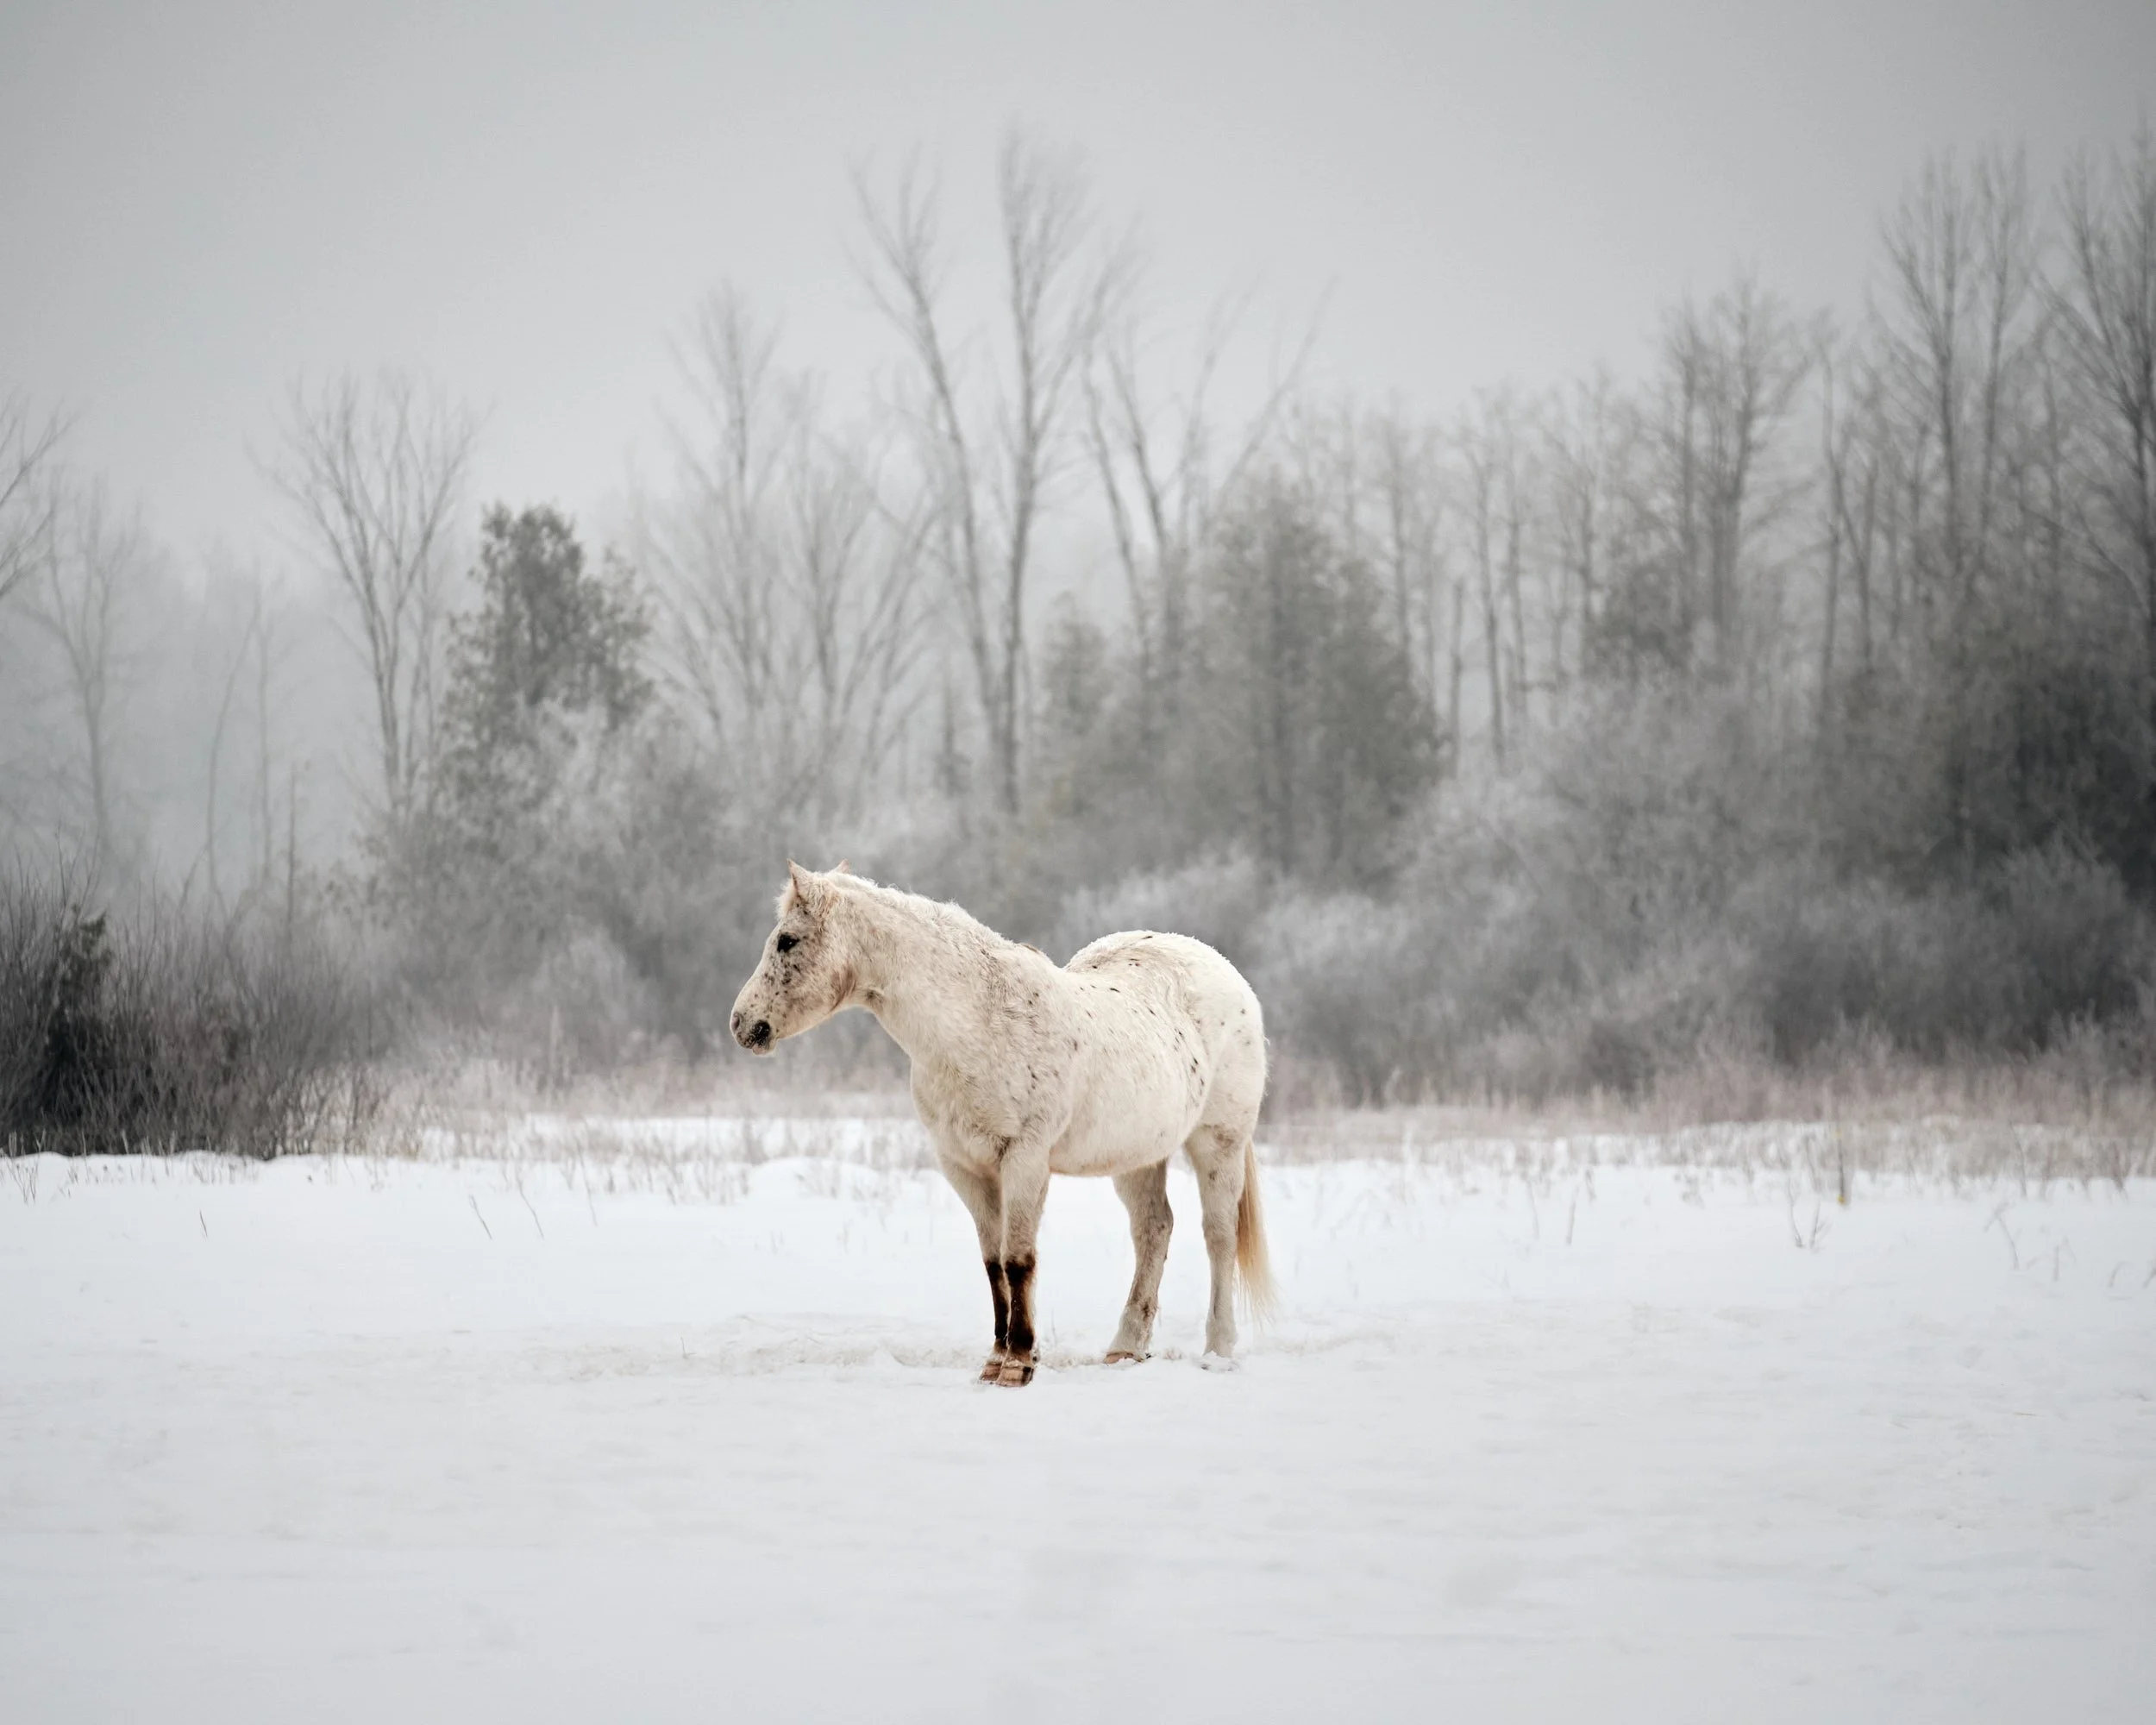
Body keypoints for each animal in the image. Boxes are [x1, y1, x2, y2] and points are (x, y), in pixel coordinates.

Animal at [729, 863, 1274, 1387]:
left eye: (787, 940)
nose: (741, 1024)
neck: (975, 1025)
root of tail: (1223, 971)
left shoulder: (1025, 1161)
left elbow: (1019, 1259)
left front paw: (1019, 1364)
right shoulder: (965, 1167)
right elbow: (993, 1264)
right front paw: (994, 1361)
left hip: (1219, 1144)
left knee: (1218, 1236)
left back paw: (1218, 1351)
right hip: (1138, 1156)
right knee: (1153, 1230)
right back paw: (1125, 1349)